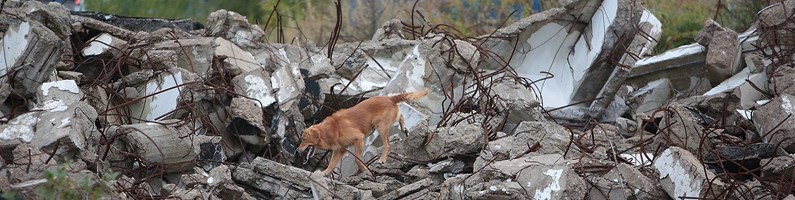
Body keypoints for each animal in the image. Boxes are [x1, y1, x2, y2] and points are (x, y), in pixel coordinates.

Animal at [300, 89, 430, 175]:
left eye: (304, 139)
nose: (297, 150)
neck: (331, 129)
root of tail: (389, 98)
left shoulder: (359, 139)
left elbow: (357, 159)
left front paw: (364, 169)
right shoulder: (339, 150)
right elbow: (331, 164)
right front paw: (324, 172)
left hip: (381, 127)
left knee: (388, 145)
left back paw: (382, 159)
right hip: (385, 122)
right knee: (401, 116)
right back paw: (404, 128)